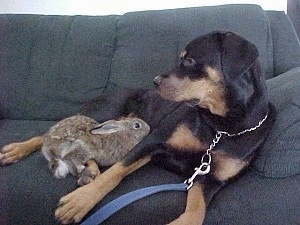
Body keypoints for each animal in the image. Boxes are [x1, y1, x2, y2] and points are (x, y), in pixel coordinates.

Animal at [0, 30, 276, 224]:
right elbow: (116, 172)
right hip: (101, 113)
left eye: (189, 61)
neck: (222, 126)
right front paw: (80, 201)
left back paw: (89, 171)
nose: (154, 81)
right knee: (53, 135)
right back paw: (16, 150)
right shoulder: (154, 140)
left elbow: (196, 212)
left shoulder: (211, 179)